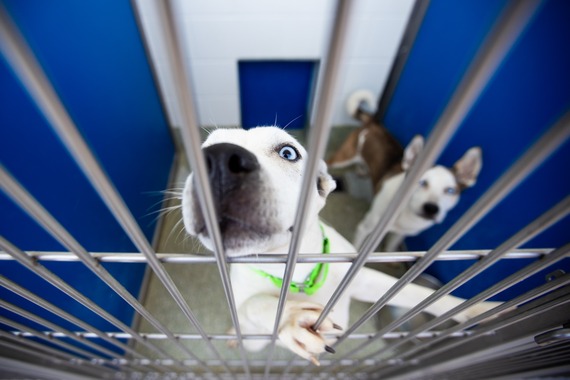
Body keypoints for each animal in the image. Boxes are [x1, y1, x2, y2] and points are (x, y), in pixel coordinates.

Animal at [352, 137, 482, 252]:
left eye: (450, 190)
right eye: (421, 182)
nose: (431, 208)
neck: (405, 210)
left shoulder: (400, 234)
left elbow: (390, 248)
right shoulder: (364, 228)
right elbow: (356, 248)